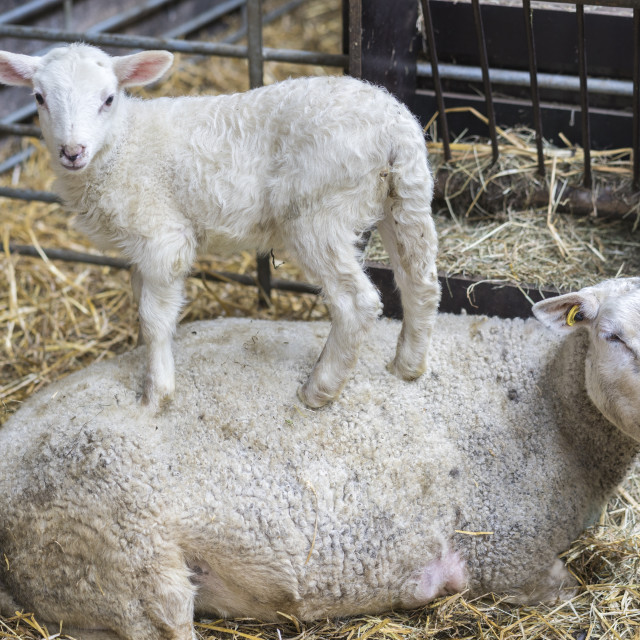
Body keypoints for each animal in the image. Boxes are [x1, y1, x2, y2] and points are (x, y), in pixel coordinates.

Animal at [0, 42, 440, 410]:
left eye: (108, 99)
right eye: (39, 98)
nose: (72, 152)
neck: (122, 145)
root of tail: (394, 128)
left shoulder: (163, 237)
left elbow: (153, 319)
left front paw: (155, 394)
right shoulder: (141, 247)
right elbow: (143, 306)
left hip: (317, 213)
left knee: (356, 303)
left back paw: (320, 389)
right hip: (403, 197)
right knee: (419, 281)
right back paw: (408, 366)